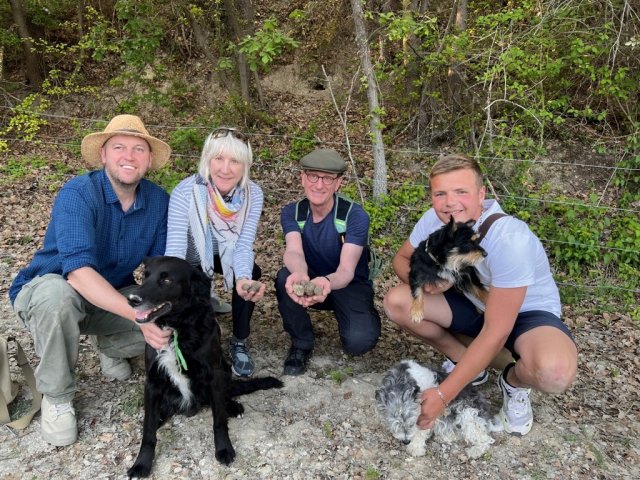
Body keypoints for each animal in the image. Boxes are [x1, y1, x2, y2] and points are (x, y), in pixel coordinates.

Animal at [126, 256, 284, 478]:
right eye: (145, 276)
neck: (177, 328)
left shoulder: (214, 375)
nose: (132, 299)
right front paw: (141, 463)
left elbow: (219, 421)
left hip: (224, 369)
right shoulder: (153, 380)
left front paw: (224, 449)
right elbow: (147, 431)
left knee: (225, 395)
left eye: (166, 280)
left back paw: (232, 406)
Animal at [372, 360, 502, 458]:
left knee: (485, 439)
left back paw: (475, 451)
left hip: (468, 415)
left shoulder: (427, 414)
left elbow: (420, 432)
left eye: (412, 423)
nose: (406, 441)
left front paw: (415, 447)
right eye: (394, 423)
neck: (401, 380)